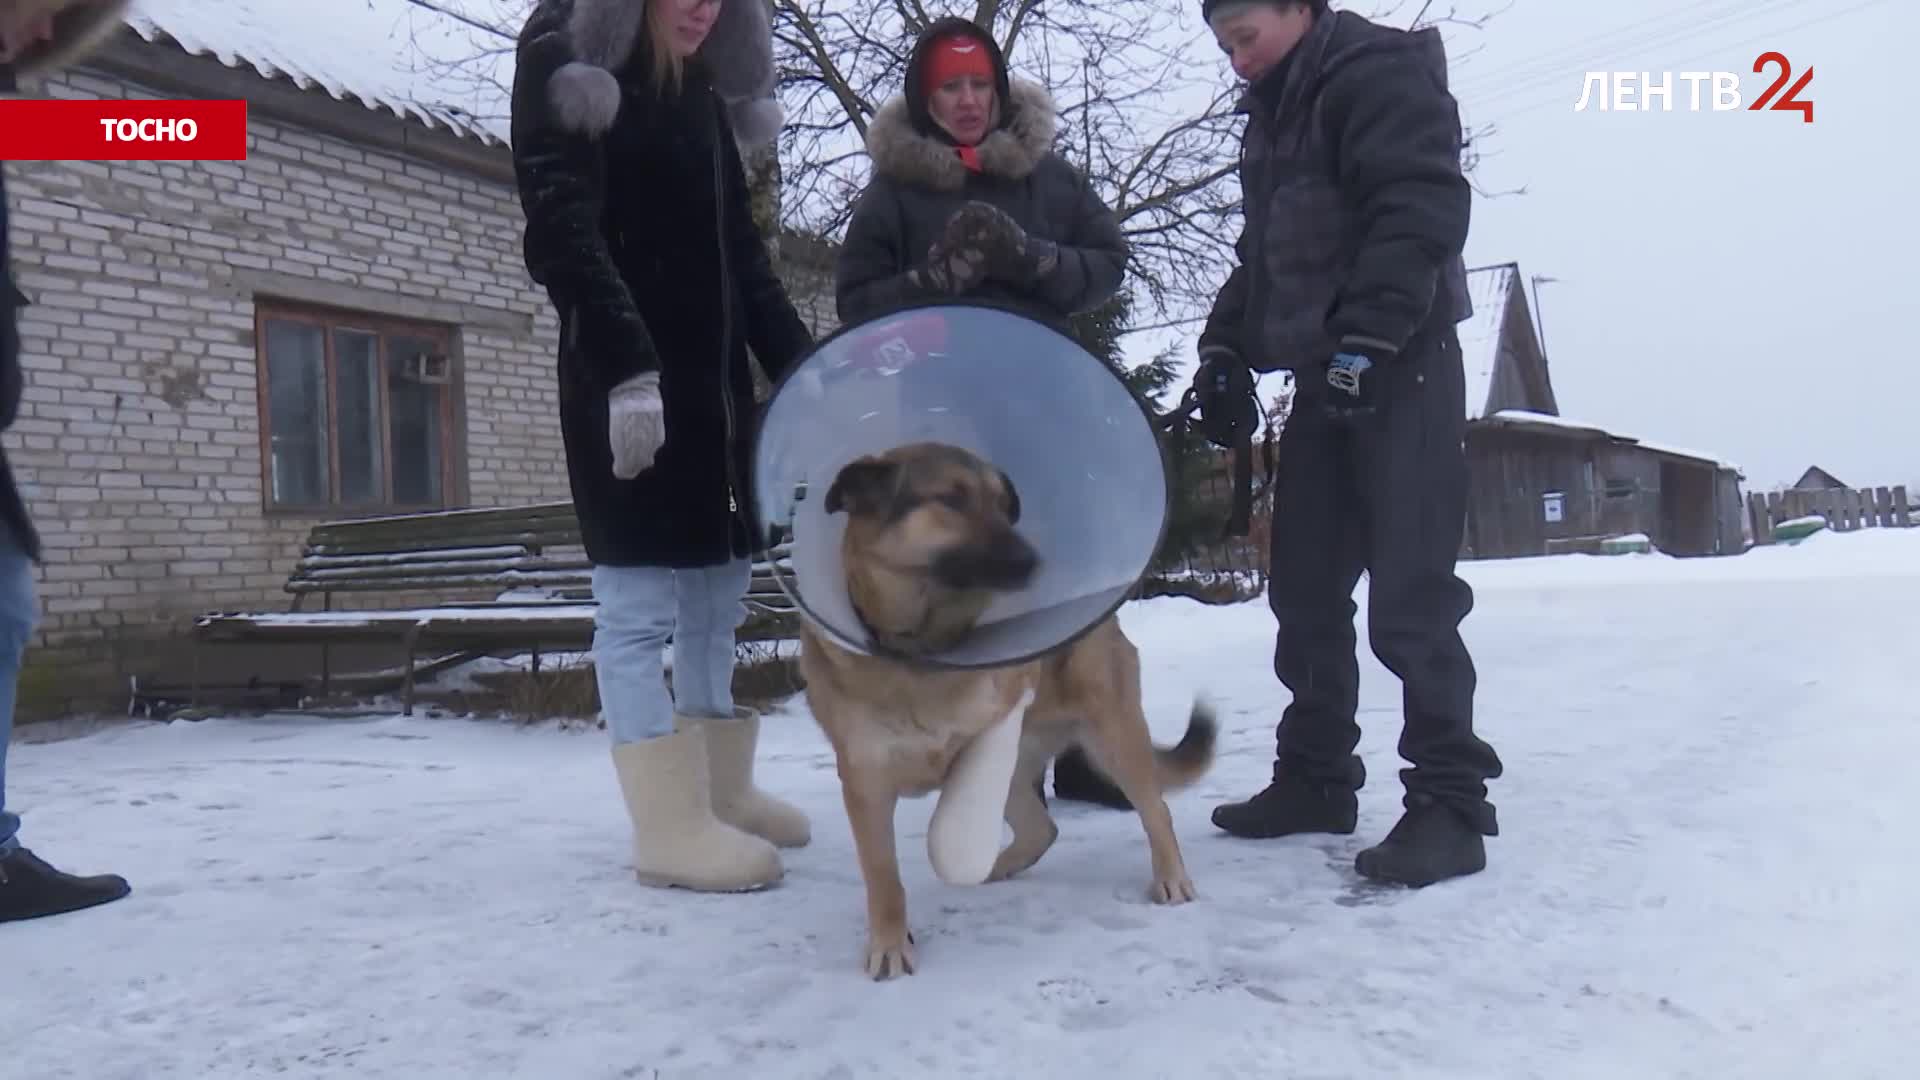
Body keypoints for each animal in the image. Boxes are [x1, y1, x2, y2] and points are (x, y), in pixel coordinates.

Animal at [794, 438, 1213, 976]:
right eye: (951, 500)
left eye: (1002, 505)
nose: (1035, 562)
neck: (919, 653)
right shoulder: (866, 780)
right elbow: (883, 875)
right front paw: (889, 943)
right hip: (1014, 770)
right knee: (1042, 829)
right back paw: (998, 867)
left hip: (1111, 737)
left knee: (1154, 809)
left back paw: (1171, 877)